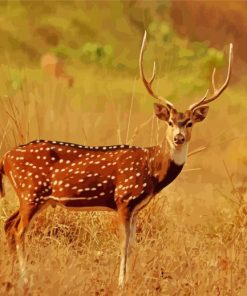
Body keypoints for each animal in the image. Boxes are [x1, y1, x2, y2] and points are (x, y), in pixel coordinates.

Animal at [0, 31, 233, 286]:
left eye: (189, 123)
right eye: (170, 122)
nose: (179, 138)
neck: (152, 170)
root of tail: (5, 158)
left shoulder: (137, 208)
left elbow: (132, 244)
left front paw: (129, 279)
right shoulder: (124, 198)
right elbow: (123, 244)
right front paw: (121, 282)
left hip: (33, 197)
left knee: (8, 224)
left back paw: (12, 273)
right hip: (31, 192)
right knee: (19, 231)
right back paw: (25, 279)